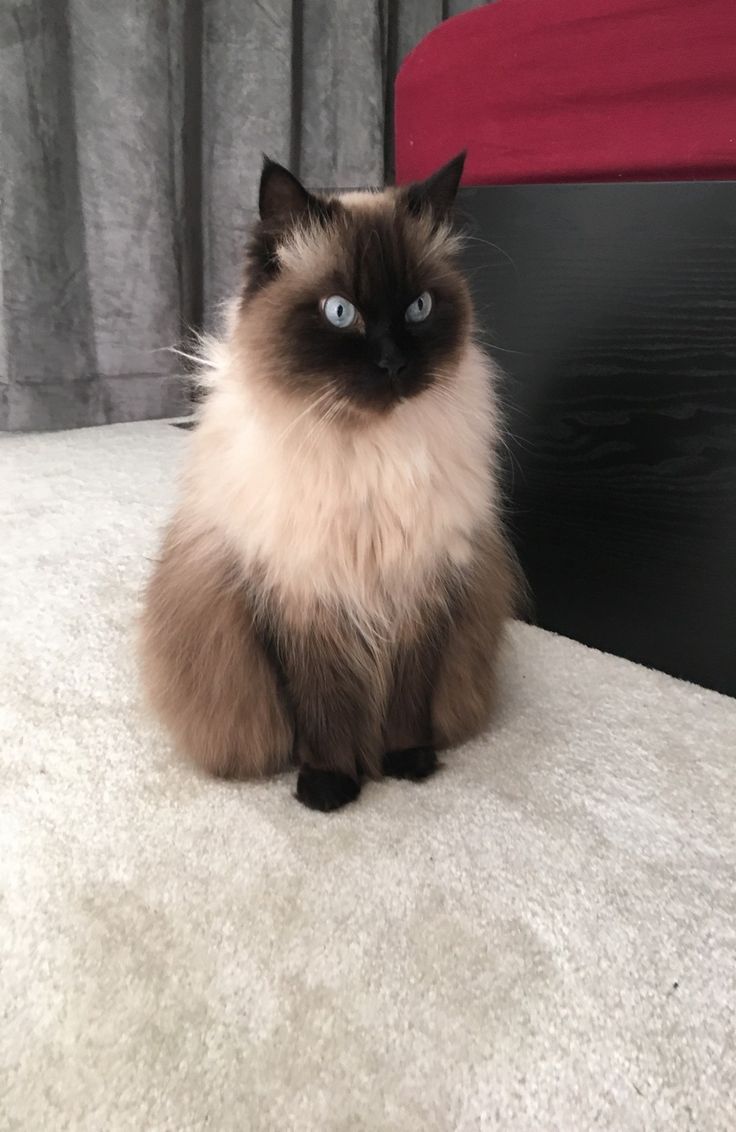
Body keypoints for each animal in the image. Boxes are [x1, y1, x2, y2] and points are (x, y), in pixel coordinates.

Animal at [137, 152, 516, 815]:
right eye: (340, 313)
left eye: (419, 308)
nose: (393, 363)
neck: (368, 453)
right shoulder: (305, 598)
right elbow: (325, 709)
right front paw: (329, 788)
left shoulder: (420, 590)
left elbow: (408, 699)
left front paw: (408, 764)